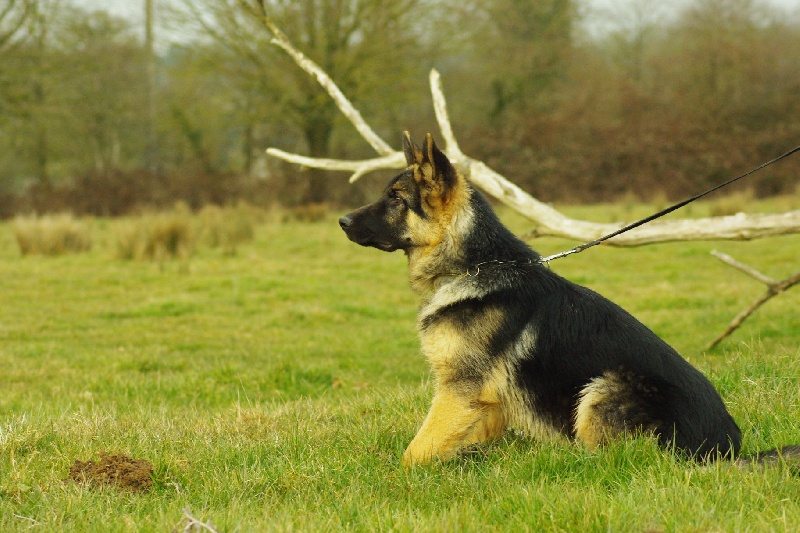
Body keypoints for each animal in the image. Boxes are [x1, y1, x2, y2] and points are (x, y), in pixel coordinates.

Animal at [340, 132, 800, 466]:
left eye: (396, 199)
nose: (342, 221)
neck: (475, 266)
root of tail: (722, 450)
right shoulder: (482, 402)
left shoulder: (458, 391)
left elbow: (416, 450)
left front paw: (395, 480)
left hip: (603, 387)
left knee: (612, 462)